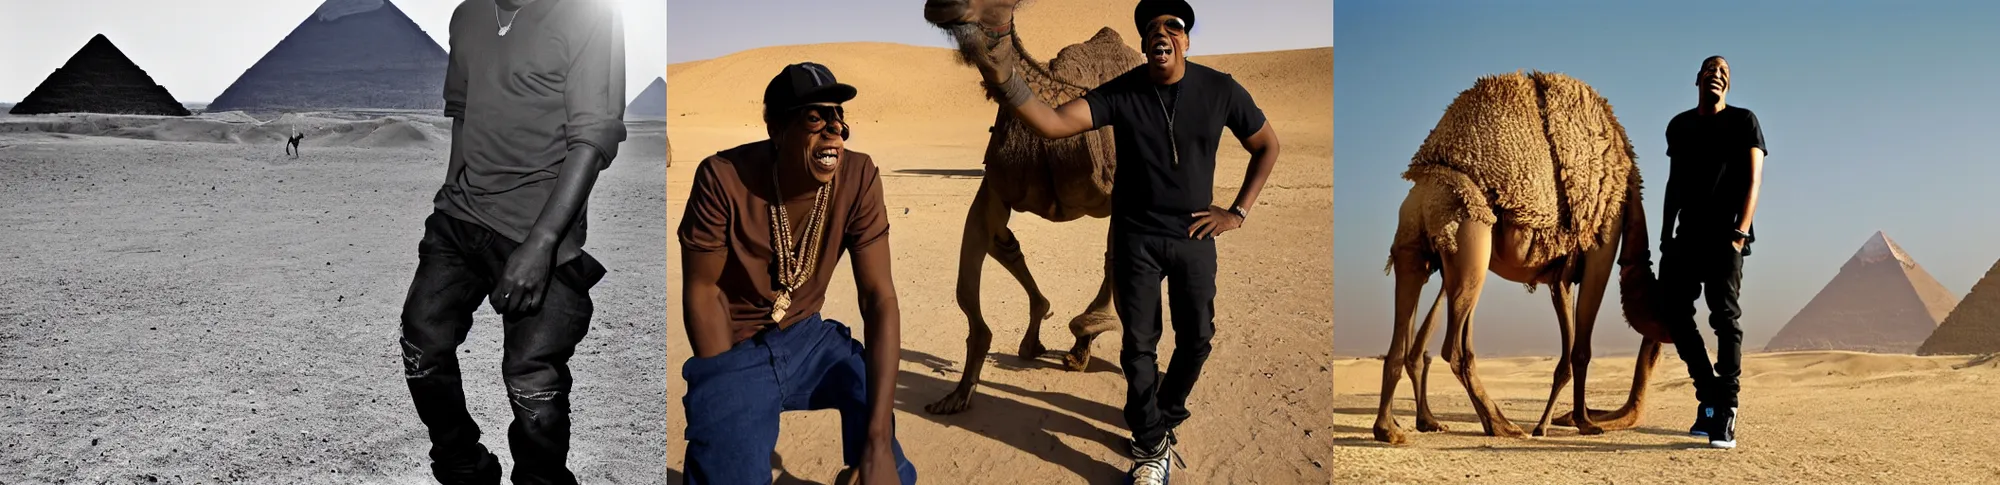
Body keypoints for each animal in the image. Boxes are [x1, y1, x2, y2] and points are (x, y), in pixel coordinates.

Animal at [920, 0, 1144, 416]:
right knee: (1006, 245)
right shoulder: (994, 190)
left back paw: (1082, 343)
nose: (939, 5)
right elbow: (969, 285)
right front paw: (958, 393)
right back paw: (1042, 338)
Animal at [1368, 70, 1680, 444]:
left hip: (1415, 247)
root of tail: (1424, 187)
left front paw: (1551, 423)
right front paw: (1583, 423)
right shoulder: (1602, 244)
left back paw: (1392, 428)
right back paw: (1501, 425)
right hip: (1471, 237)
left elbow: (1567, 352)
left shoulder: (1561, 276)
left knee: (1409, 333)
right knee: (1452, 347)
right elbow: (1581, 350)